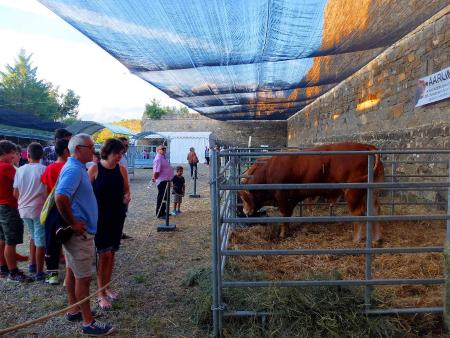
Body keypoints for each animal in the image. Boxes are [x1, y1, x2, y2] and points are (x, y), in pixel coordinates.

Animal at [239, 143, 384, 243]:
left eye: (243, 197)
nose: (245, 211)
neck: (269, 171)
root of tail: (366, 146)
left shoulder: (282, 196)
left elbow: (284, 215)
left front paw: (282, 234)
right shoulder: (291, 199)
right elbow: (288, 215)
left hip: (353, 191)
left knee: (358, 213)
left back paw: (356, 239)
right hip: (372, 191)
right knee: (374, 210)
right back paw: (376, 238)